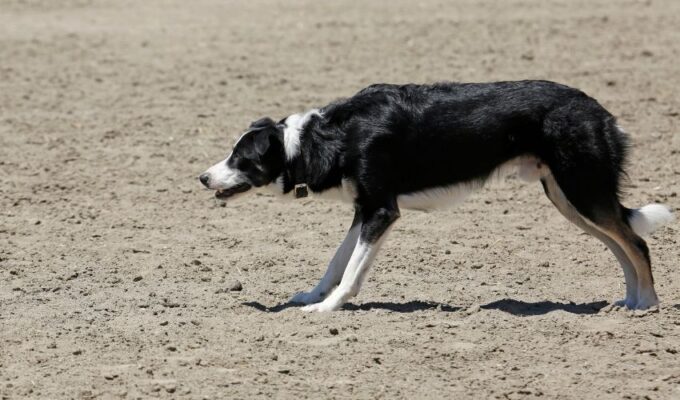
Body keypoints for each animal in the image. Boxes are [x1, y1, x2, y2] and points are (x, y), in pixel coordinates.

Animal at [198, 80, 676, 312]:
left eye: (241, 158)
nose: (202, 178)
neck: (327, 138)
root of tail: (600, 111)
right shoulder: (364, 210)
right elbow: (336, 261)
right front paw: (313, 296)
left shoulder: (381, 211)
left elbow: (352, 271)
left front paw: (328, 309)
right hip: (570, 200)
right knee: (620, 244)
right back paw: (628, 302)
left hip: (583, 191)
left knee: (636, 242)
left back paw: (648, 306)